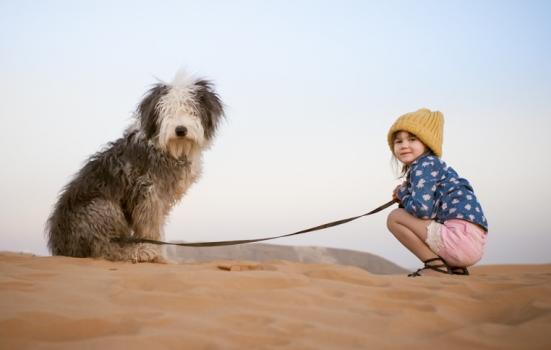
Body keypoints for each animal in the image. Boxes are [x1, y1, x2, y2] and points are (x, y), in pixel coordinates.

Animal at [45, 72, 224, 262]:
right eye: (167, 111)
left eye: (191, 109)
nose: (180, 130)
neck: (168, 149)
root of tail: (60, 247)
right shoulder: (148, 194)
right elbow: (152, 231)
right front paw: (159, 257)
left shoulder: (159, 199)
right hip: (101, 207)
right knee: (104, 249)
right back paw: (141, 252)